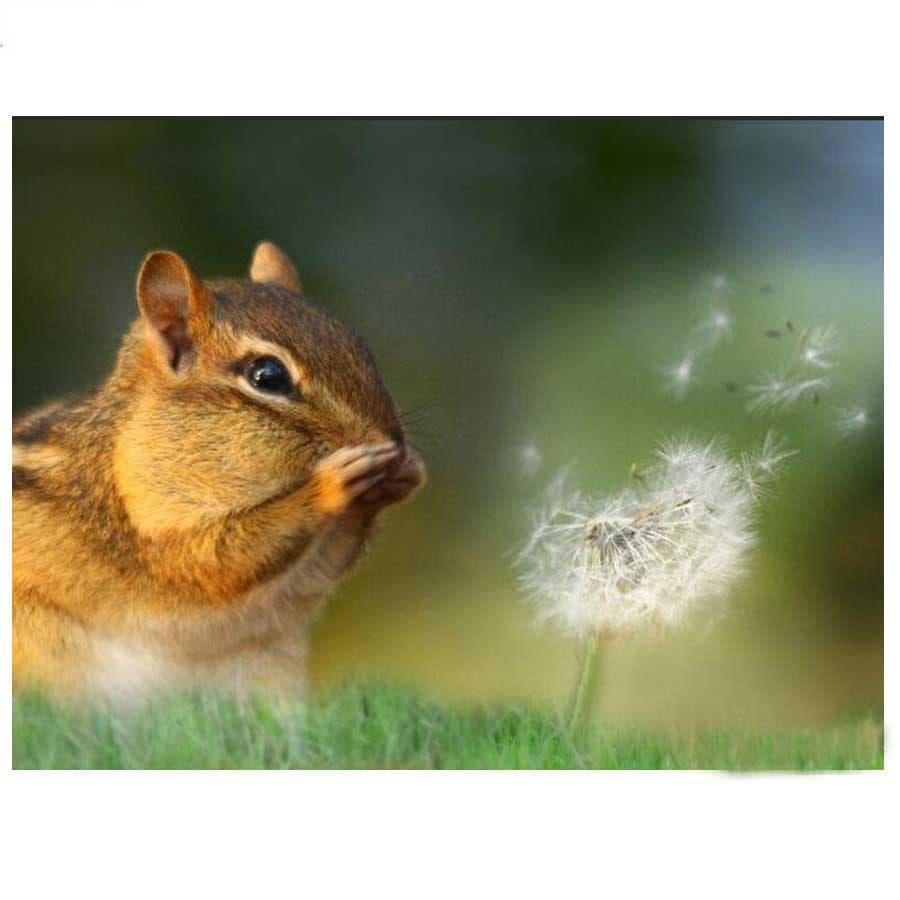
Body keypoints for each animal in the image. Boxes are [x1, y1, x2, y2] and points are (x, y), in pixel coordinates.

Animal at [12, 242, 426, 704]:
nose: (391, 441)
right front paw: (331, 485)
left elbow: (318, 569)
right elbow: (216, 561)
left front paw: (403, 474)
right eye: (267, 375)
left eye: (359, 347)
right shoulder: (147, 525)